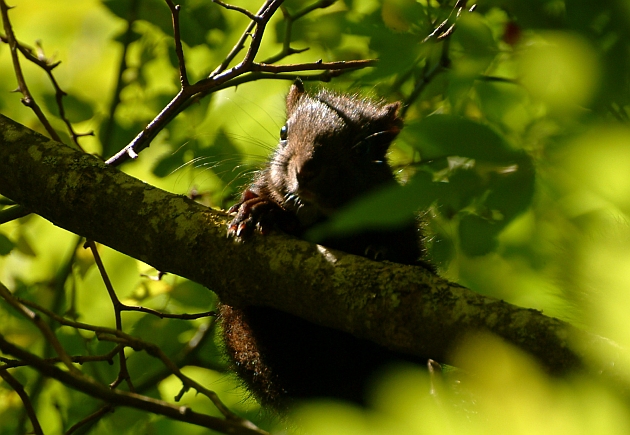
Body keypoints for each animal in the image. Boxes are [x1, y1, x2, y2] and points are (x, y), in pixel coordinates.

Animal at [222, 82, 430, 412]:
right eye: (283, 132)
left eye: (363, 149)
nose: (305, 171)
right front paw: (260, 211)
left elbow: (405, 249)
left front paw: (380, 251)